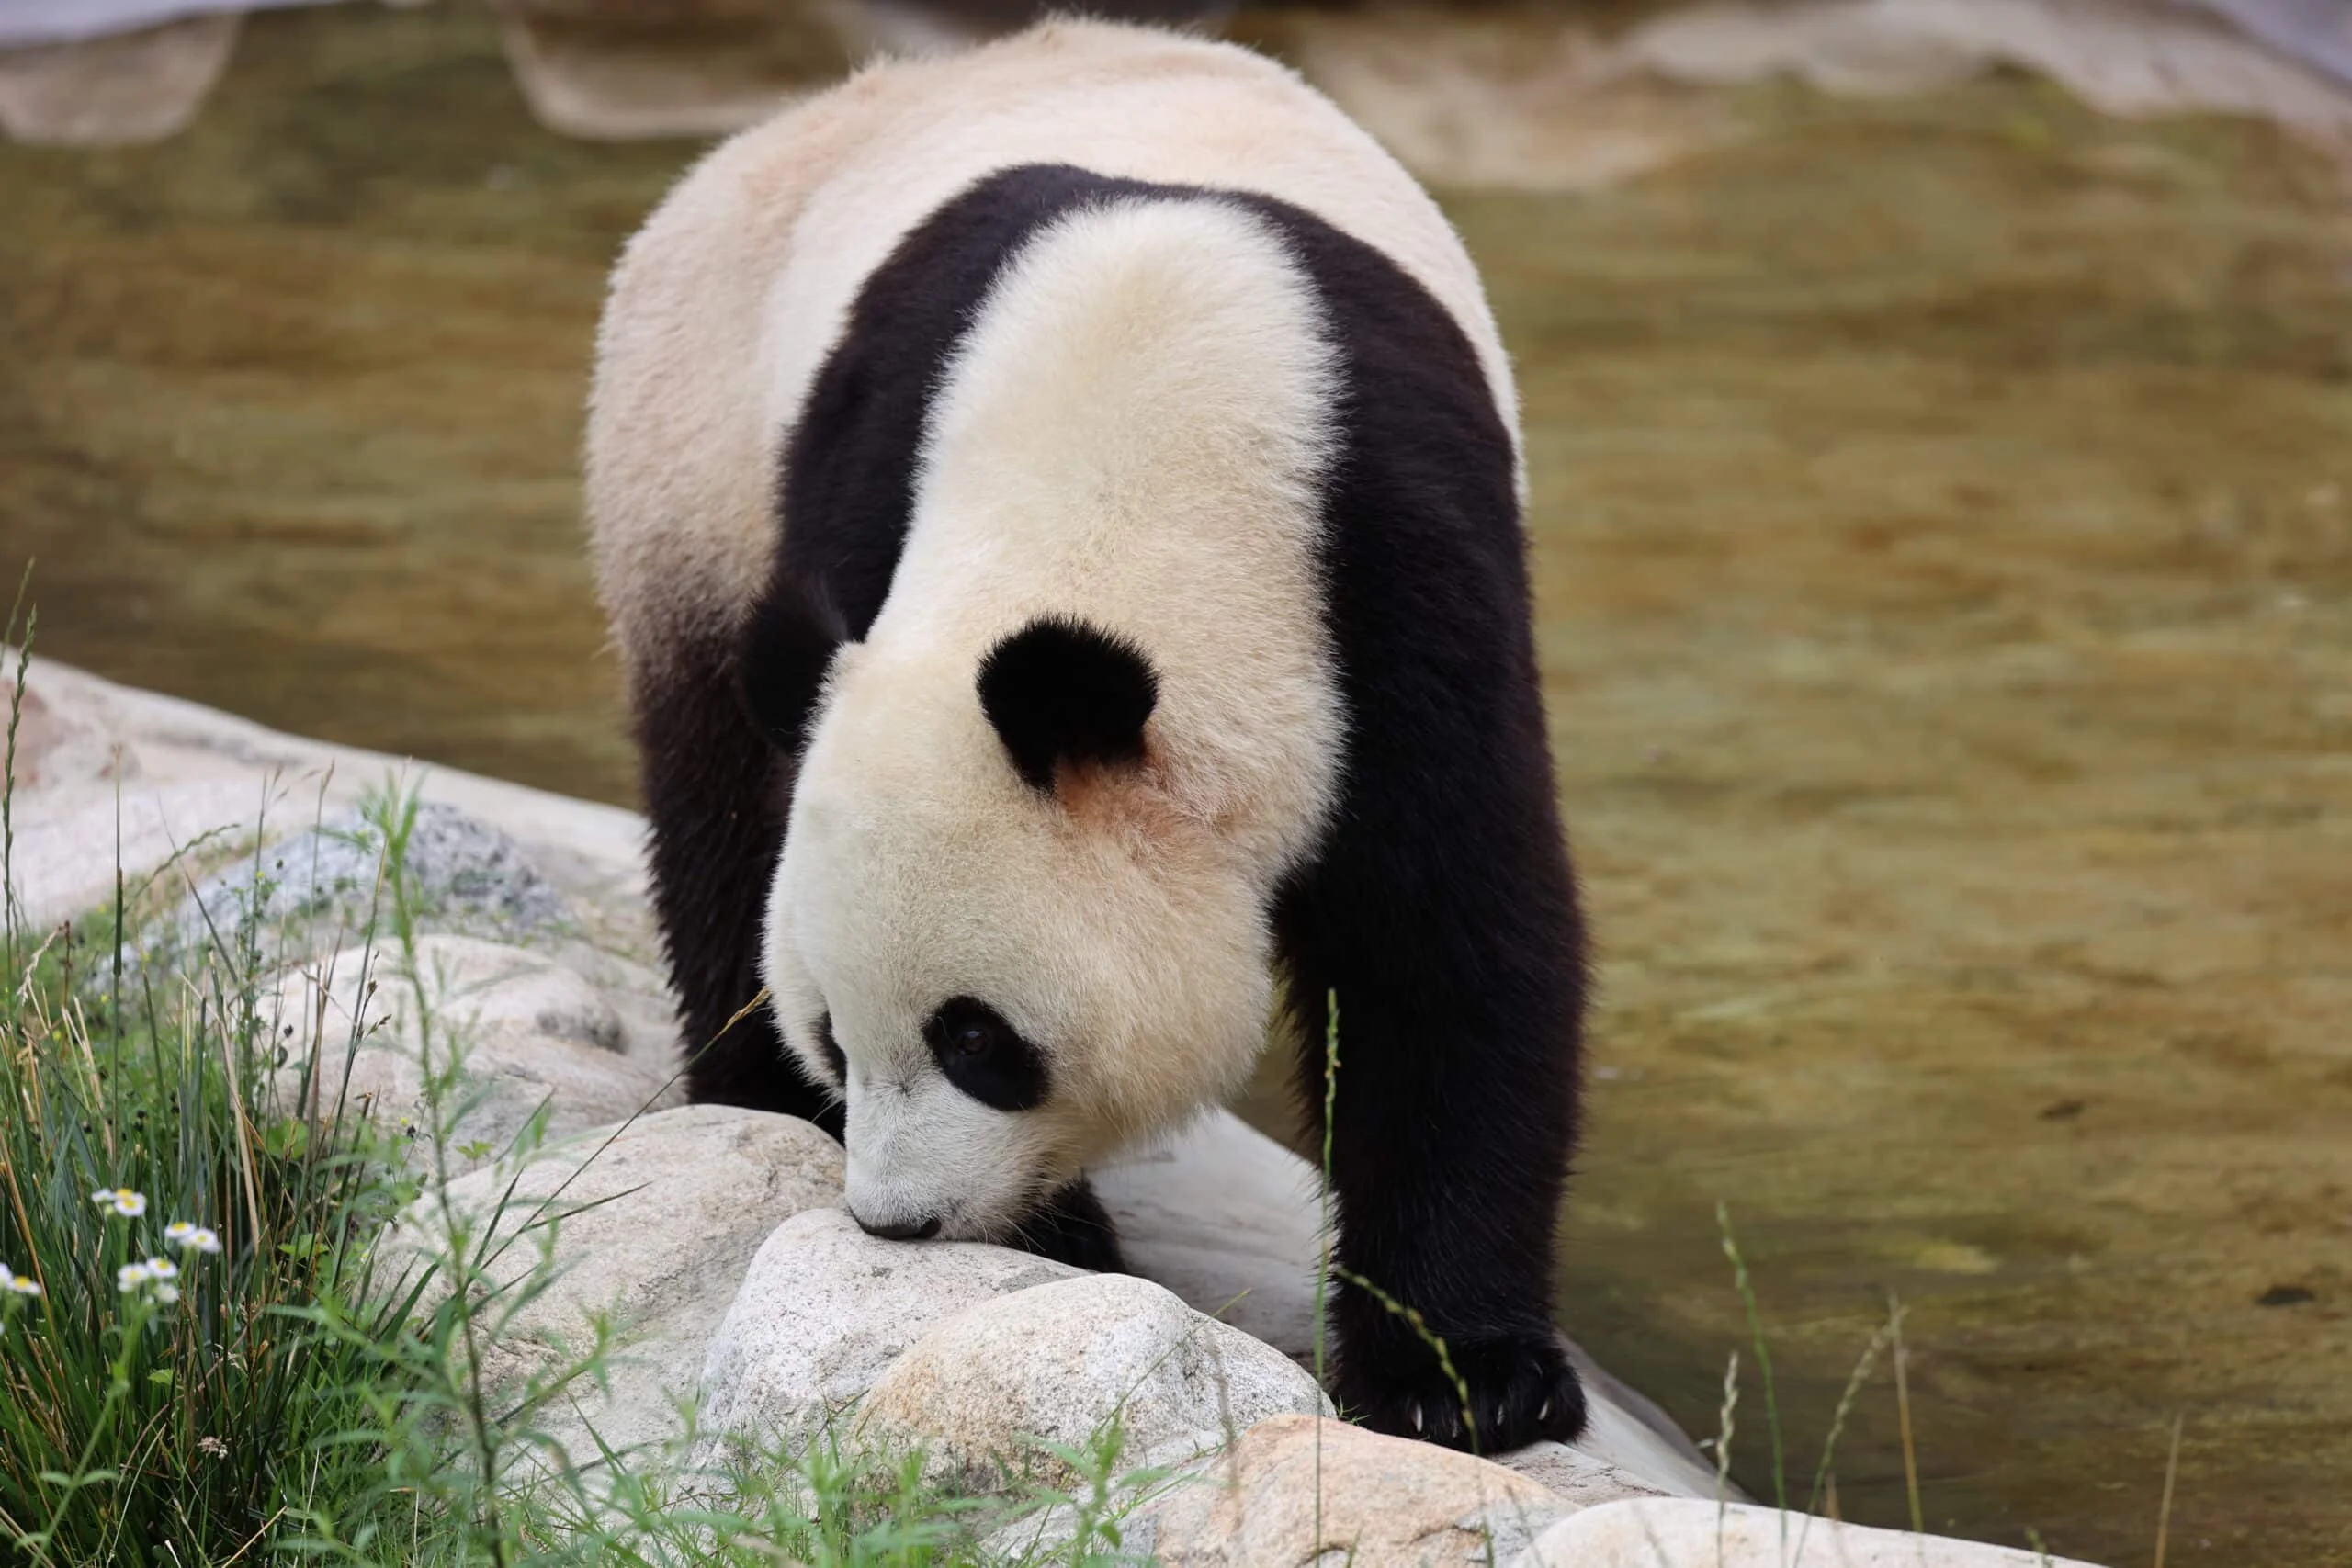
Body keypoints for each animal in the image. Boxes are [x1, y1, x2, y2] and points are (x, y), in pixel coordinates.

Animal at [587, 20, 1589, 1452]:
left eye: (977, 1038)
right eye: (837, 1029)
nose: (898, 1220)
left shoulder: (1402, 581)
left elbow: (1452, 943)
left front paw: (1465, 1379)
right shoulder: (863, 488)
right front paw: (1059, 1239)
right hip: (693, 462)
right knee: (721, 786)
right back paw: (755, 1099)